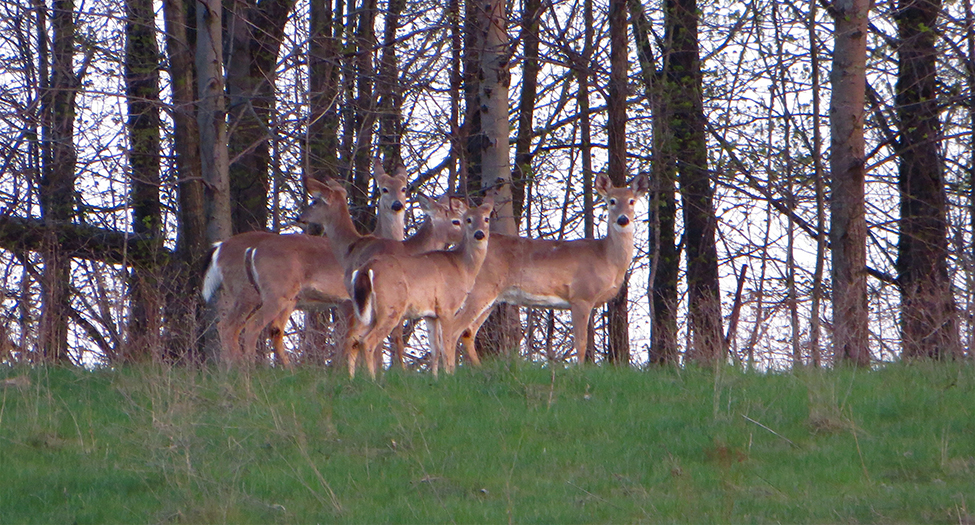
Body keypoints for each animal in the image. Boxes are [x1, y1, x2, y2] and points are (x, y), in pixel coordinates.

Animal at [202, 162, 408, 366]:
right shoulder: (348, 300)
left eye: (404, 188)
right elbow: (356, 339)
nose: (397, 205)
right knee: (240, 326)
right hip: (252, 292)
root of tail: (220, 247)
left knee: (242, 327)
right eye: (384, 189)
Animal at [346, 199, 496, 378]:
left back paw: (352, 378)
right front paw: (450, 374)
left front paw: (436, 377)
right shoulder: (447, 307)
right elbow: (448, 344)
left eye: (486, 218)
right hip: (391, 306)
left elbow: (435, 348)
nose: (479, 234)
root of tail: (366, 268)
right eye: (467, 219)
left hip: (366, 311)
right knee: (368, 341)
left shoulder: (431, 314)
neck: (462, 267)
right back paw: (373, 379)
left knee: (353, 338)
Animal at [438, 172, 644, 368]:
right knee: (454, 329)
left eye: (632, 201)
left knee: (467, 332)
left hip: (493, 297)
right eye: (612, 201)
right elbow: (581, 343)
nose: (623, 219)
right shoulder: (581, 296)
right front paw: (579, 371)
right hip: (480, 289)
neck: (606, 258)